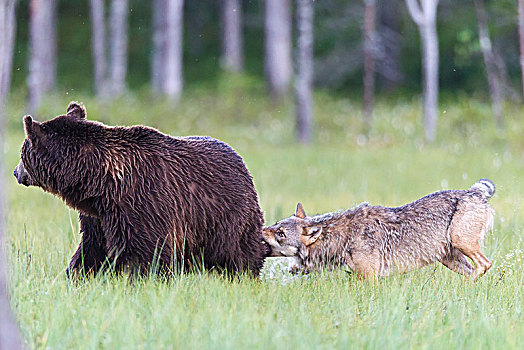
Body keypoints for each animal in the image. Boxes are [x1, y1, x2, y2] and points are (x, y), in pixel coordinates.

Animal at [14, 101, 268, 276]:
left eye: (22, 151)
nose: (16, 172)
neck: (98, 181)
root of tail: (240, 161)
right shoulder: (100, 215)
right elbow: (92, 249)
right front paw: (76, 276)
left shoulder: (142, 201)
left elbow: (144, 253)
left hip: (226, 214)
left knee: (239, 253)